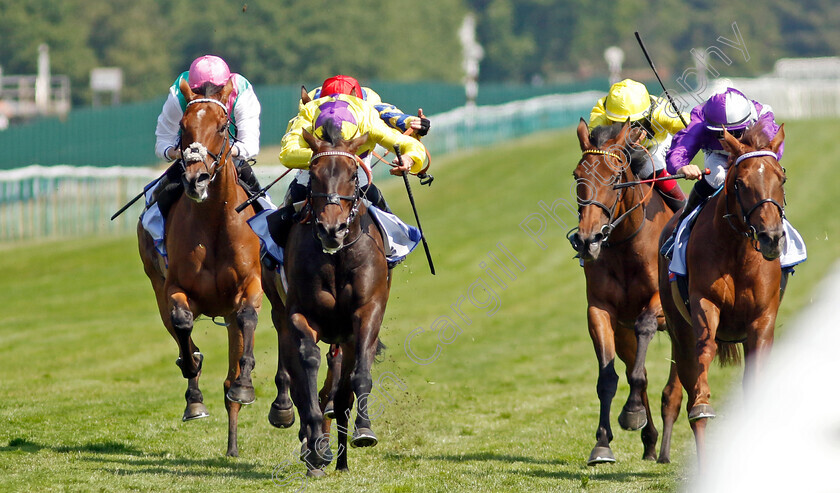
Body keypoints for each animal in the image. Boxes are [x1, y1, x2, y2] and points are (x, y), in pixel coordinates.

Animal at [138, 77, 262, 458]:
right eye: (183, 126)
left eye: (222, 127)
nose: (196, 179)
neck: (214, 222)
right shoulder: (175, 287)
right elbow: (182, 324)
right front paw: (193, 391)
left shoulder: (249, 285)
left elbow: (248, 317)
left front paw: (244, 386)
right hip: (155, 284)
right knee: (177, 329)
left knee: (231, 369)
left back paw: (233, 441)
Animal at [262, 117, 390, 474]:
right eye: (314, 174)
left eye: (353, 175)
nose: (331, 229)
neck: (336, 256)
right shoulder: (299, 314)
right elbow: (307, 365)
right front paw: (317, 445)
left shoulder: (366, 312)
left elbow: (358, 375)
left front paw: (364, 430)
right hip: (280, 312)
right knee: (297, 376)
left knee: (341, 388)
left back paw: (342, 458)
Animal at [564, 117, 676, 464]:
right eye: (578, 175)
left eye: (615, 178)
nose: (588, 239)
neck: (628, 245)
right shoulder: (601, 310)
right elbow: (608, 377)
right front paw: (602, 443)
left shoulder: (660, 306)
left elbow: (645, 329)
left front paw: (631, 412)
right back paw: (651, 441)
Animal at [656, 122, 788, 466]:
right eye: (740, 183)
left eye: (781, 178)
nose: (770, 238)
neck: (739, 252)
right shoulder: (705, 304)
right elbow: (704, 352)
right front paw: (703, 404)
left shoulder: (762, 320)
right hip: (678, 327)